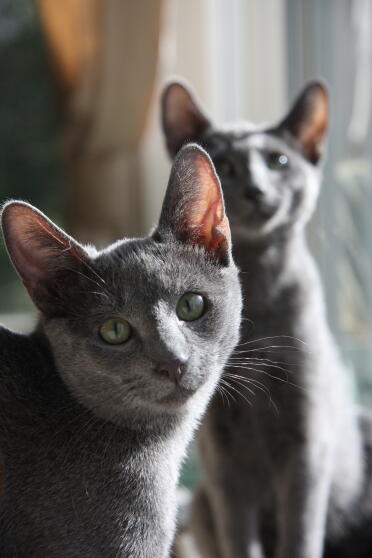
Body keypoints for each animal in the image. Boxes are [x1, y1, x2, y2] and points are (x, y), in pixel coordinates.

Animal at [162, 80, 372, 558]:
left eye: (279, 162)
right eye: (224, 165)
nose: (257, 189)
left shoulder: (306, 445)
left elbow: (301, 534)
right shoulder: (223, 459)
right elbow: (241, 536)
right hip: (202, 503)